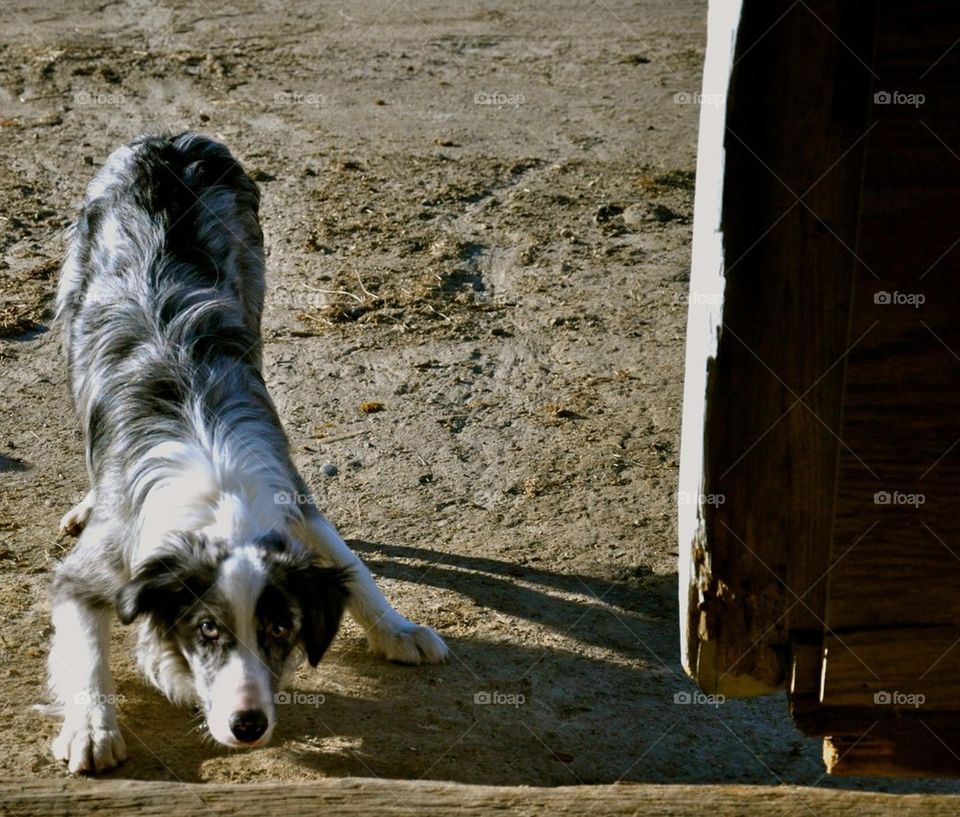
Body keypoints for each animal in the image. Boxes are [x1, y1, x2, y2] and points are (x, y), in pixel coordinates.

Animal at [47, 132, 446, 772]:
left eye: (279, 630)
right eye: (207, 630)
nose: (249, 725)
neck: (220, 497)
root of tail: (169, 140)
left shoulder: (294, 498)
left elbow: (353, 568)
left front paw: (396, 629)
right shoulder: (92, 571)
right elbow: (85, 649)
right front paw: (90, 728)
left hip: (253, 298)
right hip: (74, 318)